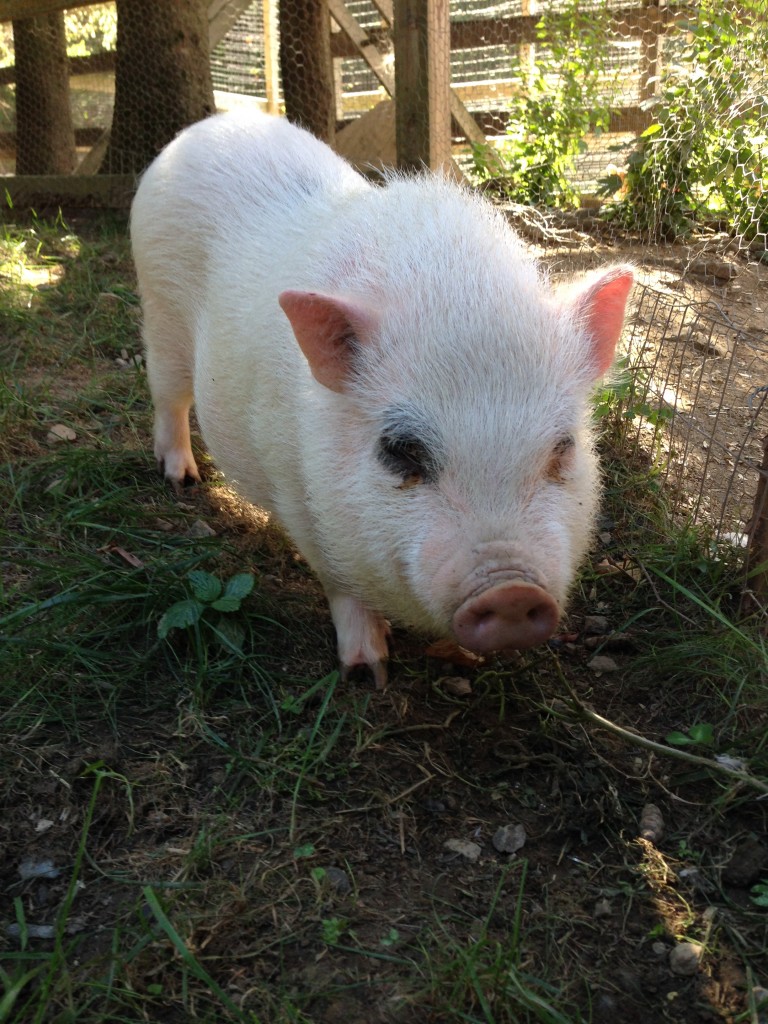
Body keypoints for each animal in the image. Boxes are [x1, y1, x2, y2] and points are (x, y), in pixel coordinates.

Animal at [130, 109, 633, 688]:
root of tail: (208, 125)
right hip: (160, 316)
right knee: (168, 398)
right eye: (400, 450)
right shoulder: (299, 496)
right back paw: (183, 479)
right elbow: (341, 585)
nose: (511, 593)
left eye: (562, 447)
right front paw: (369, 672)